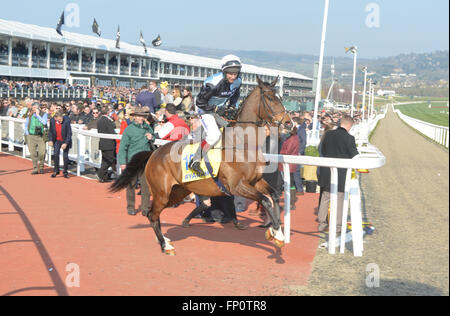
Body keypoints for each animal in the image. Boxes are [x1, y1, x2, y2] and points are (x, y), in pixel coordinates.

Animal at [109, 76, 292, 254]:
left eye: (281, 97)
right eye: (270, 97)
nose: (289, 123)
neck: (242, 143)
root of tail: (153, 153)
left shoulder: (255, 181)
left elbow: (274, 195)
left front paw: (277, 233)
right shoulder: (236, 186)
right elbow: (265, 200)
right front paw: (276, 233)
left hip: (177, 192)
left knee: (152, 214)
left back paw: (164, 239)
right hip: (162, 193)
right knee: (152, 214)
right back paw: (165, 245)